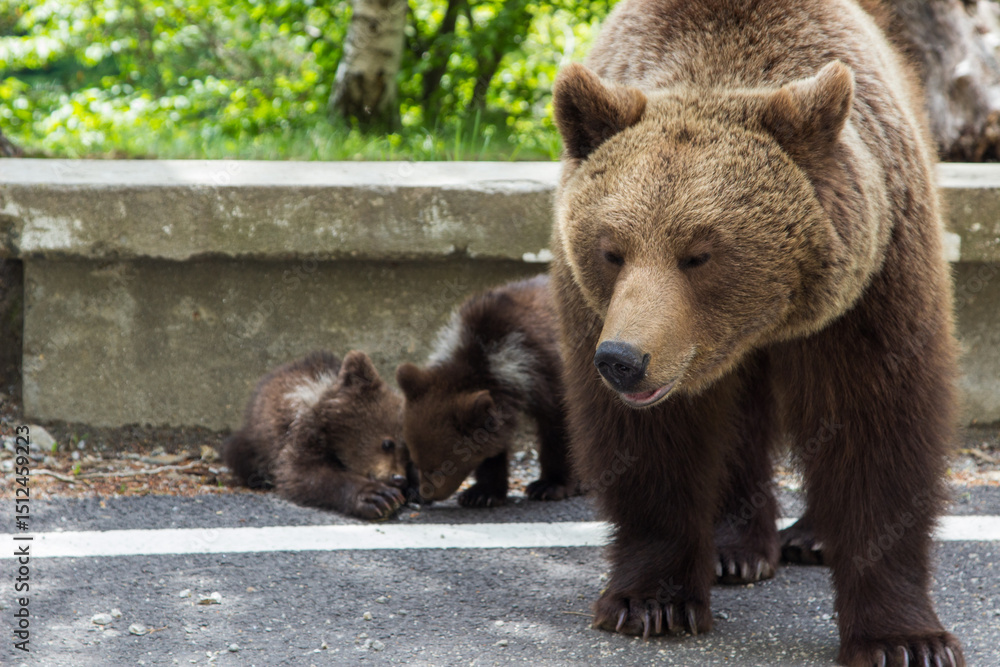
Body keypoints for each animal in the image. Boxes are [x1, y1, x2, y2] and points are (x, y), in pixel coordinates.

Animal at [222, 350, 412, 520]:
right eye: (387, 443)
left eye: (408, 454)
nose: (399, 478)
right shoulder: (303, 434)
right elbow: (302, 473)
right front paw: (378, 497)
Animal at [395, 274, 576, 507]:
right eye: (416, 461)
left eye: (441, 467)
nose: (426, 495)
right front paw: (481, 493)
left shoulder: (552, 373)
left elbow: (559, 426)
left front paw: (549, 485)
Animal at [549, 1, 962, 665]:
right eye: (611, 250)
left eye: (699, 254)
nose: (622, 360)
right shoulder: (603, 313)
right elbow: (651, 445)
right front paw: (653, 601)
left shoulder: (871, 291)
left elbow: (878, 430)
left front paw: (905, 639)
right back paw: (734, 548)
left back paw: (811, 539)